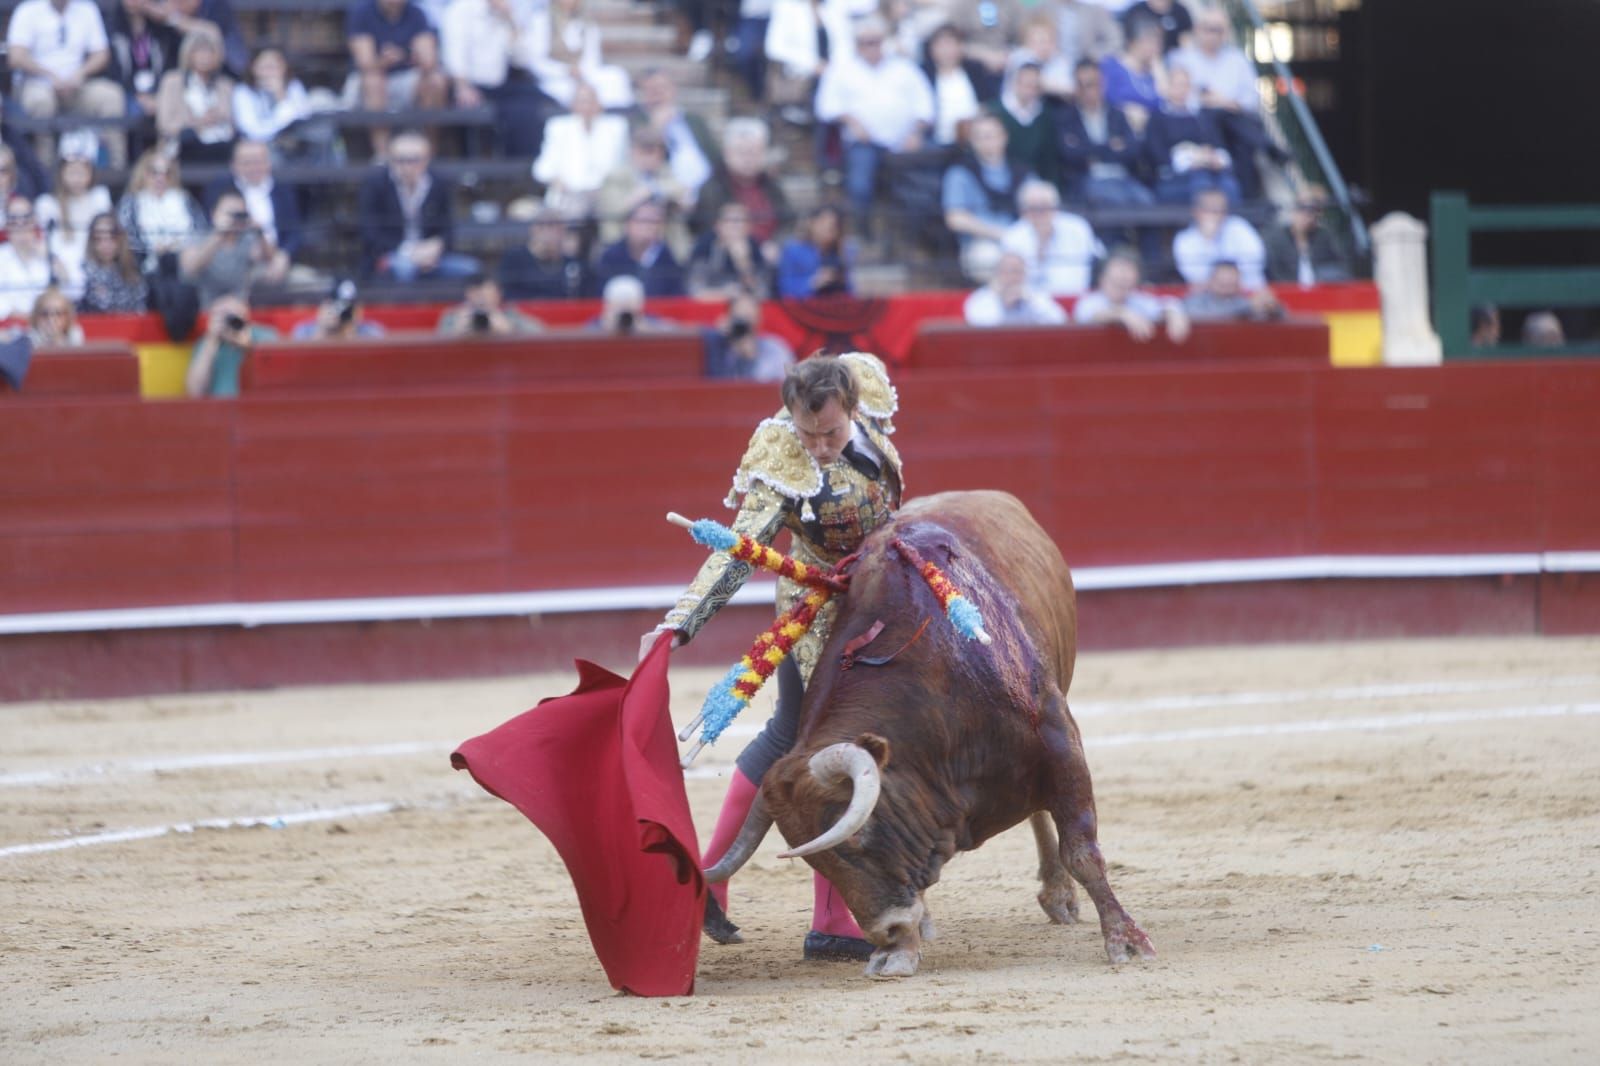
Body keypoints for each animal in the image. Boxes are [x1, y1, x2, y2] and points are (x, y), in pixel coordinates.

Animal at [707, 489, 1158, 973]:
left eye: (858, 837)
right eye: (817, 863)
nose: (884, 932)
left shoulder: (1059, 740)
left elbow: (1082, 851)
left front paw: (1127, 940)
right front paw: (899, 952)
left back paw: (1060, 898)